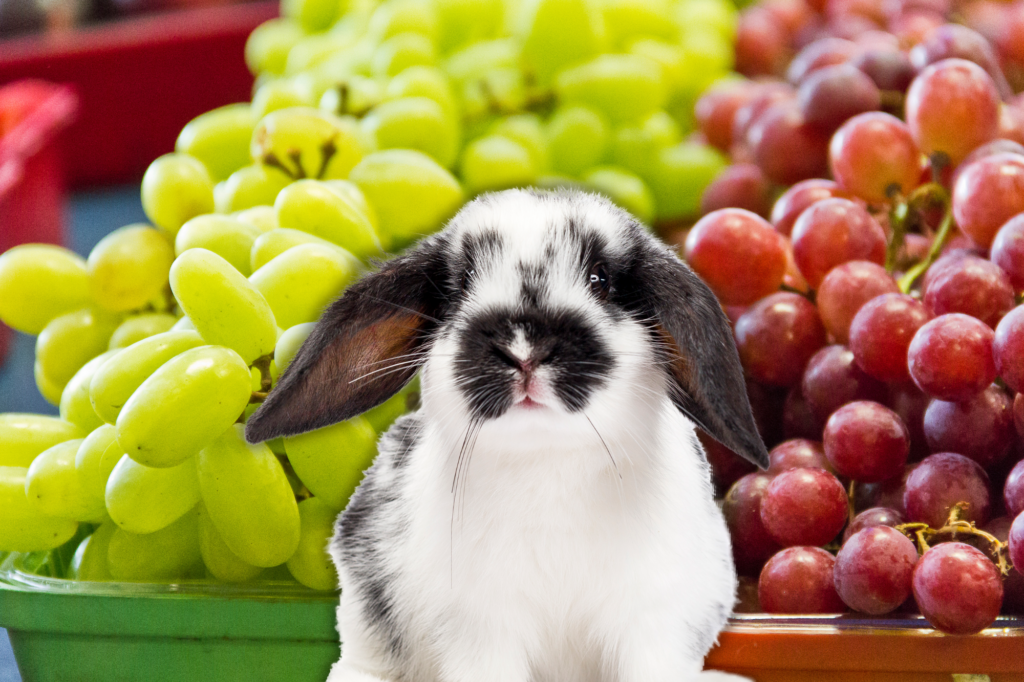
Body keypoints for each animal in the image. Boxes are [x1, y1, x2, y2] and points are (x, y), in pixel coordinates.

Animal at [245, 188, 769, 682]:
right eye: (459, 287)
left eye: (600, 279)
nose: (522, 347)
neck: (548, 462)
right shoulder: (478, 632)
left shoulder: (654, 623)